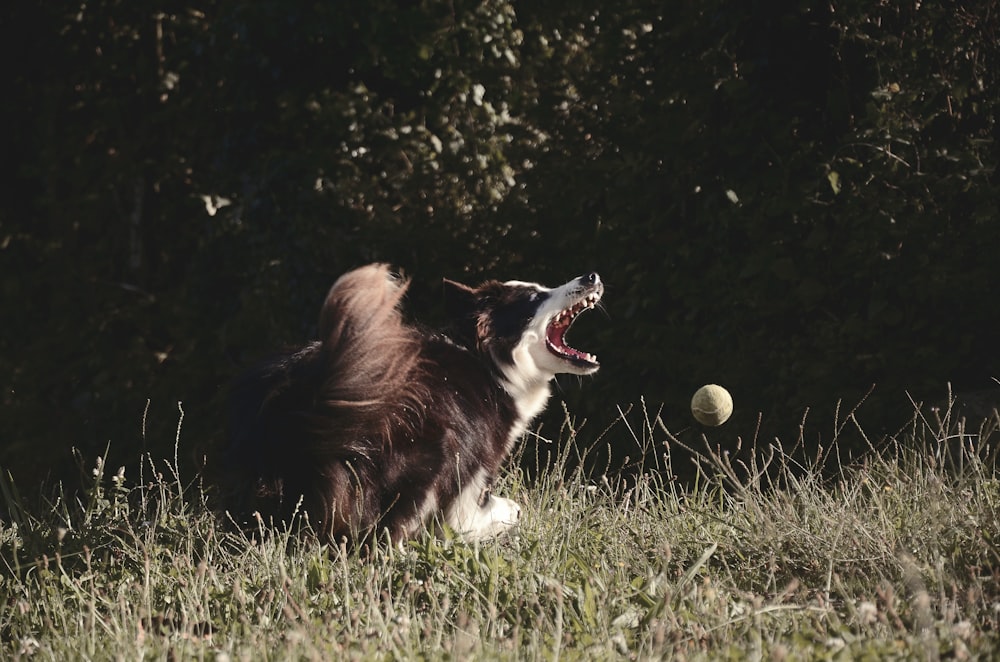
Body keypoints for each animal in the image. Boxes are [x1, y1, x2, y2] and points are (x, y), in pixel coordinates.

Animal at [221, 268, 600, 548]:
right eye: (536, 297)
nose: (591, 276)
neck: (489, 363)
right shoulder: (470, 463)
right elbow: (482, 511)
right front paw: (488, 523)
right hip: (430, 451)